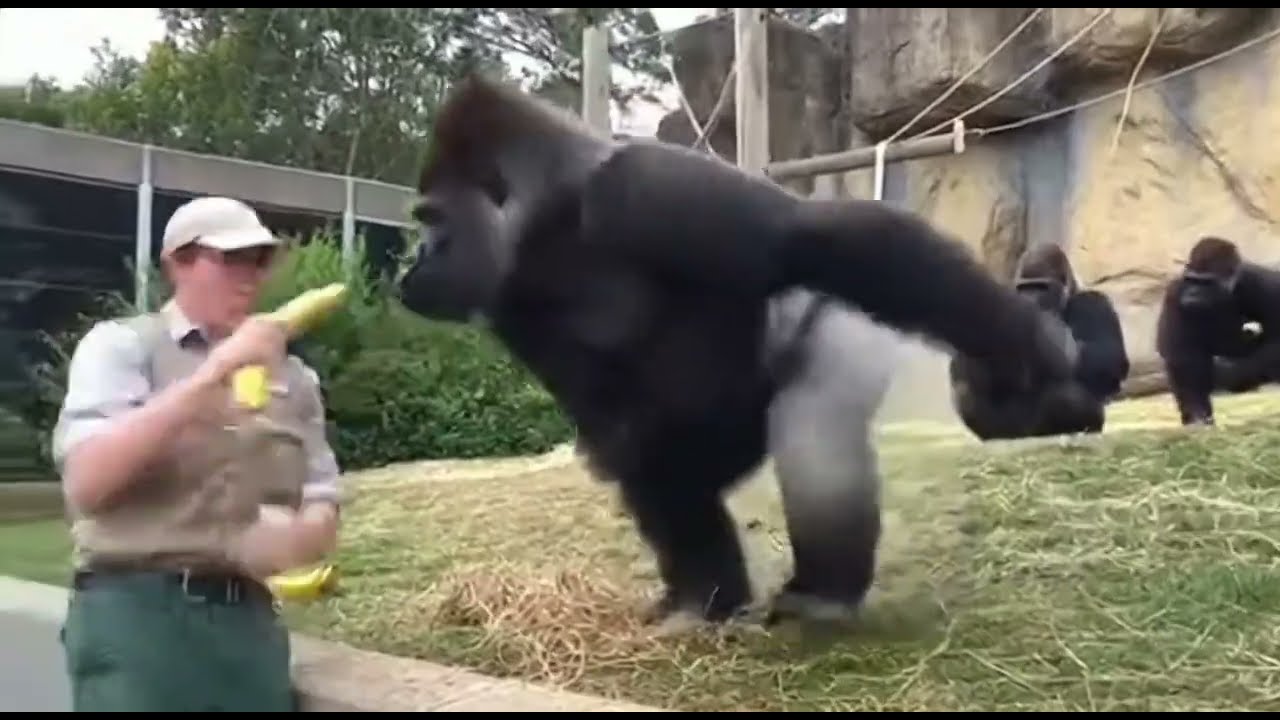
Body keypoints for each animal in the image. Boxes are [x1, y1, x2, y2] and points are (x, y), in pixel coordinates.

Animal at [395, 74, 1077, 630]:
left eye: (433, 220)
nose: (411, 263)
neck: (550, 218)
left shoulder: (642, 187)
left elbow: (809, 238)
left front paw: (1025, 338)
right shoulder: (511, 296)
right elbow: (625, 434)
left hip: (842, 325)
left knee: (814, 425)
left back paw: (824, 592)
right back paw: (710, 598)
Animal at [948, 244, 1130, 440]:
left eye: (1041, 287)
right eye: (1025, 288)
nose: (1029, 300)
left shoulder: (1095, 301)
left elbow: (1106, 357)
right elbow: (963, 365)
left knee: (1068, 398)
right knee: (965, 391)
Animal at [1156, 235, 1280, 426]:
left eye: (1207, 282)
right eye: (1192, 280)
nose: (1192, 293)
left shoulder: (1267, 285)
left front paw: (1229, 371)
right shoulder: (1175, 292)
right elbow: (1182, 357)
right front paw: (1197, 413)